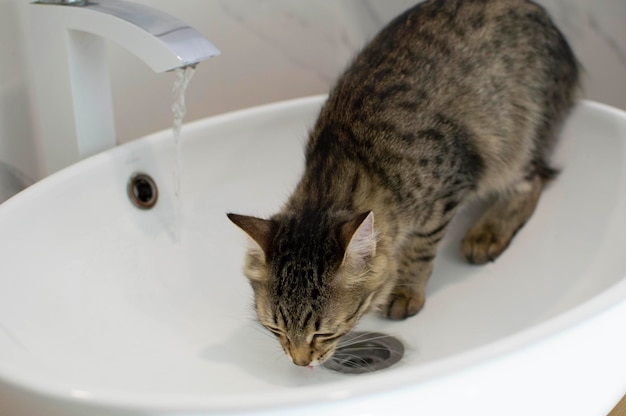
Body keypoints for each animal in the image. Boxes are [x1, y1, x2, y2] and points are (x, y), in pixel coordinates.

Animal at [224, 0, 576, 366]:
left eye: (324, 333)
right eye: (274, 329)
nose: (301, 362)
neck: (346, 164)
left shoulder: (447, 190)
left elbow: (420, 250)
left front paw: (405, 291)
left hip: (514, 144)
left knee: (534, 180)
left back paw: (487, 233)